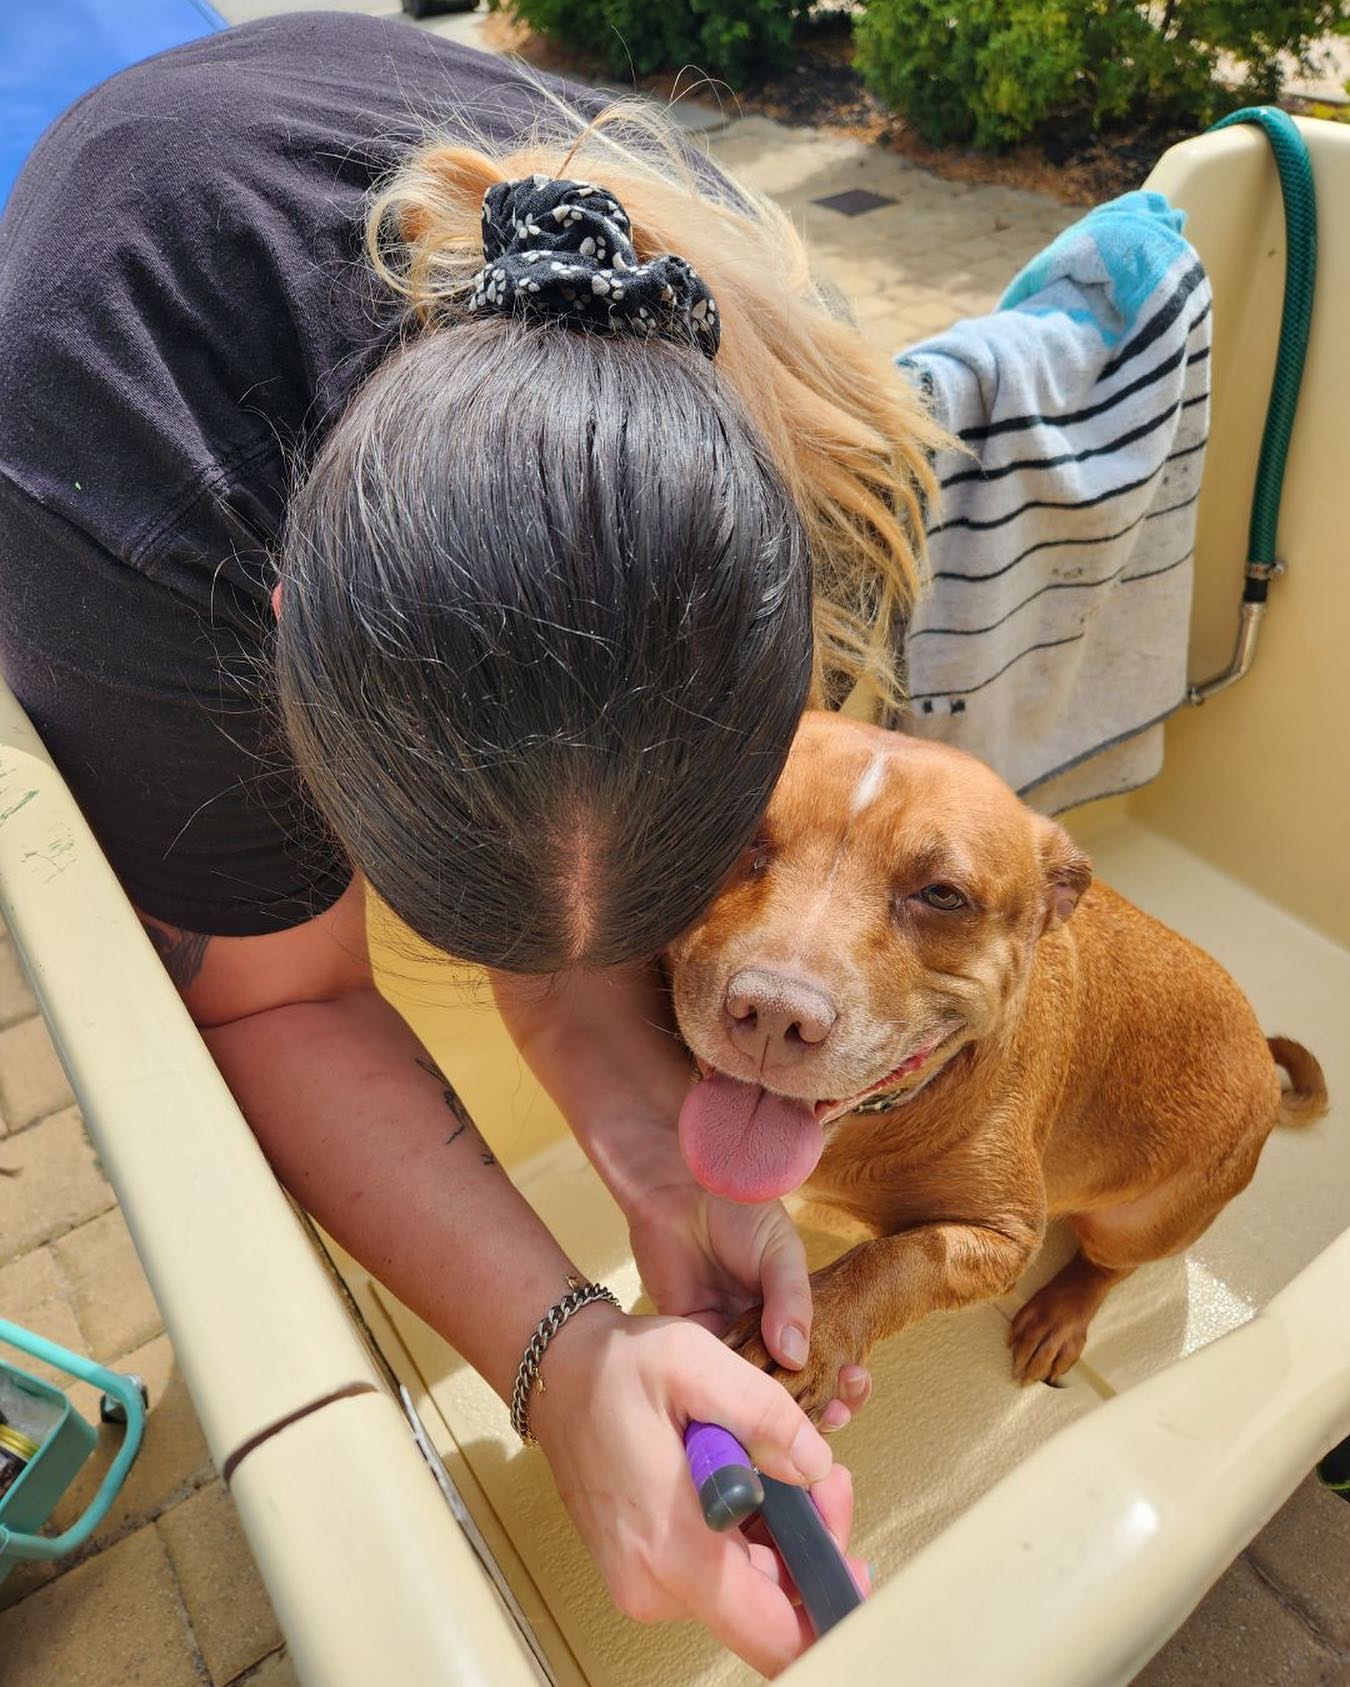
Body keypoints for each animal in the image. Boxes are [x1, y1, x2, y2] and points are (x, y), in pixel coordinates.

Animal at [668, 711, 1323, 1410]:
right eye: (735, 838)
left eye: (942, 895)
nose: (774, 1011)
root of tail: (1261, 1052)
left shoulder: (1004, 1239)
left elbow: (904, 1257)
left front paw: (818, 1333)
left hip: (1142, 1220)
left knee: (1106, 1266)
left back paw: (1059, 1316)